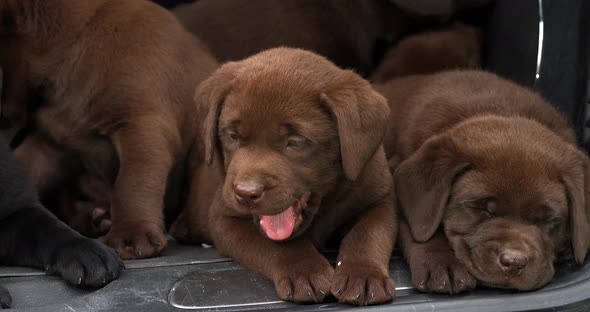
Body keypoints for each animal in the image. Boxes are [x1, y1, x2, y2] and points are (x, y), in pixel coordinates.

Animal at [0, 0, 220, 258]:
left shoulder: (142, 125)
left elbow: (132, 183)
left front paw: (132, 234)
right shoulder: (51, 143)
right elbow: (26, 169)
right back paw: (94, 218)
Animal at [175, 48, 398, 304]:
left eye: (295, 142)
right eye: (232, 136)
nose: (246, 193)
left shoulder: (379, 197)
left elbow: (368, 233)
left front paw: (363, 277)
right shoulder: (225, 217)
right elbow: (276, 244)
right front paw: (305, 273)